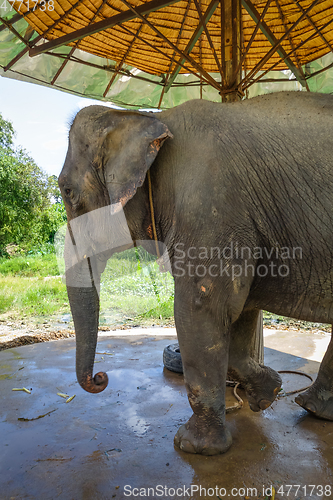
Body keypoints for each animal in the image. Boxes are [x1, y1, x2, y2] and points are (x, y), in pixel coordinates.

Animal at [58, 92, 332, 456]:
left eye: (68, 192)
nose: (101, 378)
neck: (146, 117)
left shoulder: (209, 205)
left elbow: (203, 307)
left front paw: (193, 446)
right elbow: (240, 311)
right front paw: (268, 394)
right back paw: (313, 408)